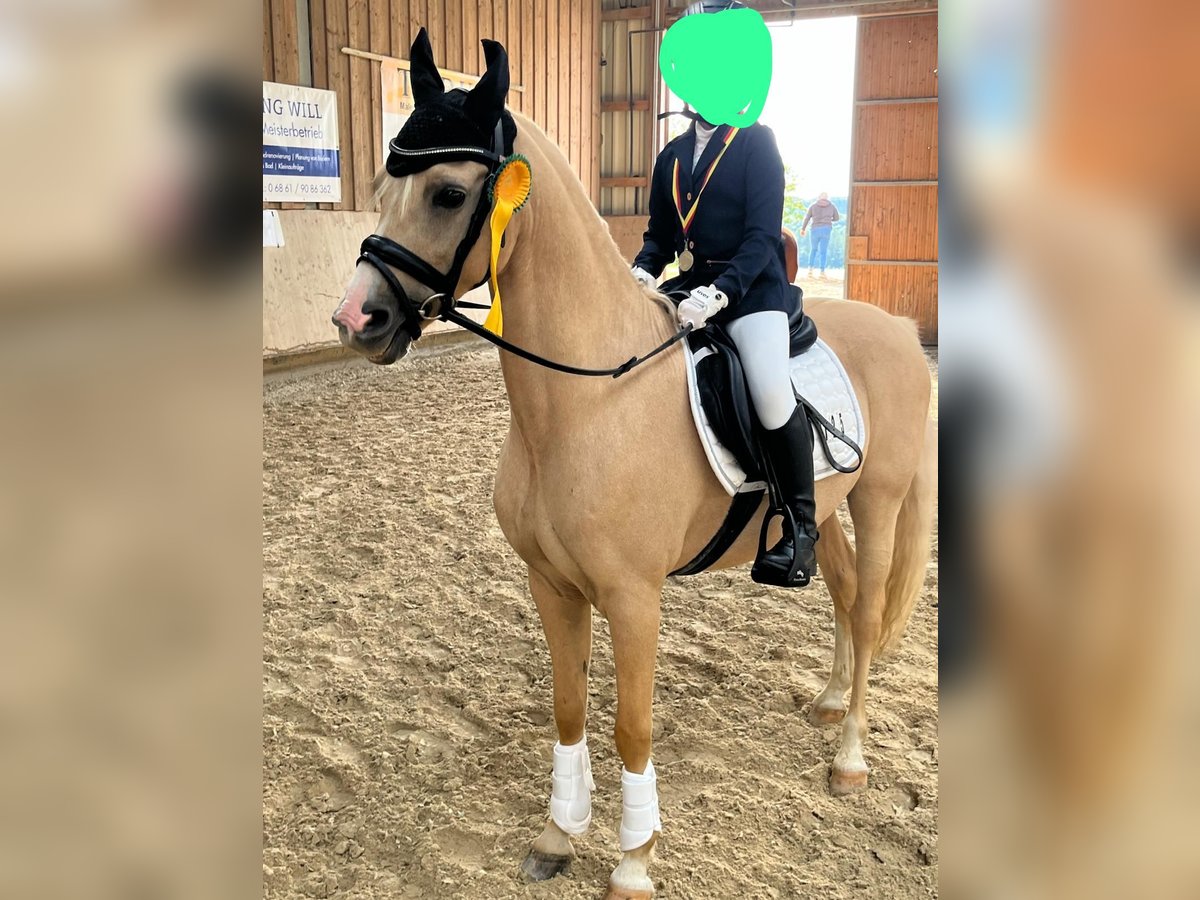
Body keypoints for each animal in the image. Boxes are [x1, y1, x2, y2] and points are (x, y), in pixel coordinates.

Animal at [332, 68, 934, 900]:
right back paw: (828, 700)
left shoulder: (633, 597)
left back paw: (848, 759)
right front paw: (558, 835)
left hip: (880, 502)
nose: (356, 319)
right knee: (843, 596)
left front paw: (634, 860)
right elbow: (567, 709)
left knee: (871, 612)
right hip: (826, 510)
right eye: (380, 187)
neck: (585, 402)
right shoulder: (551, 584)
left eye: (449, 194)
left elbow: (631, 725)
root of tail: (899, 331)